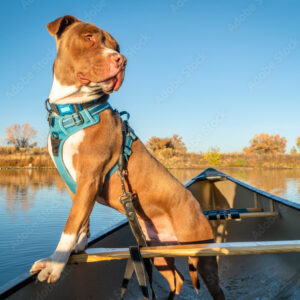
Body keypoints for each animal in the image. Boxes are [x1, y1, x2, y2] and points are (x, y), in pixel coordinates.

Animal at [29, 15, 224, 298]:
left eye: (116, 47)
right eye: (88, 37)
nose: (122, 60)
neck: (73, 107)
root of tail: (198, 206)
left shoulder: (90, 176)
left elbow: (71, 221)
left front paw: (55, 263)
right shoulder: (77, 184)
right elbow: (81, 217)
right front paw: (78, 246)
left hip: (202, 254)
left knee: (214, 285)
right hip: (156, 251)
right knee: (176, 279)